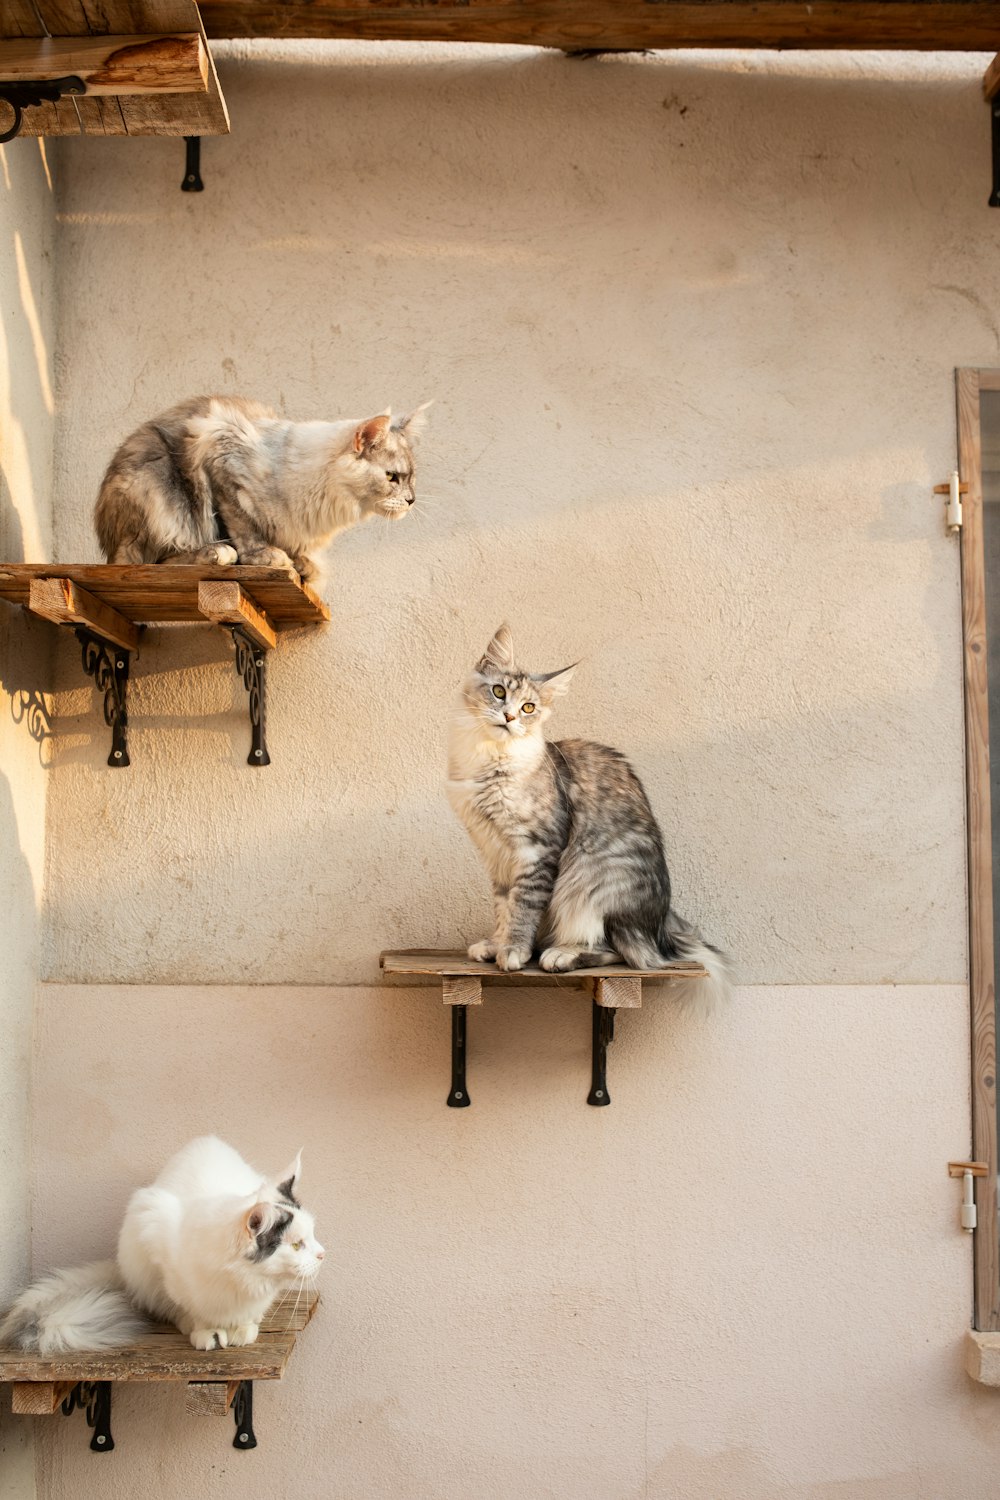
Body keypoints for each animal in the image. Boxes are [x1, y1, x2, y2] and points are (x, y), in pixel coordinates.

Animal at [0, 1134, 322, 1362]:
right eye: (296, 1245)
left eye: (312, 1235)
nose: (323, 1254)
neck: (243, 1281)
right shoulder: (156, 1234)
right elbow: (193, 1308)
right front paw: (206, 1331)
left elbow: (248, 1313)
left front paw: (244, 1328)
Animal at [94, 393, 434, 579]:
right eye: (392, 477)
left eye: (411, 478)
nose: (411, 500)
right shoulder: (221, 460)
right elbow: (243, 526)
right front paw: (263, 556)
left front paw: (302, 564)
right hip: (160, 490)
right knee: (154, 561)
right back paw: (217, 553)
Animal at [449, 627, 731, 1002]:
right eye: (498, 692)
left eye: (528, 708)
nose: (509, 717)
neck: (490, 761)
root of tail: (660, 927)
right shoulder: (496, 853)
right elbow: (503, 908)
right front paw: (496, 944)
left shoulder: (537, 849)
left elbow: (523, 906)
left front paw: (513, 950)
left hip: (592, 879)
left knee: (624, 955)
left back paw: (560, 955)